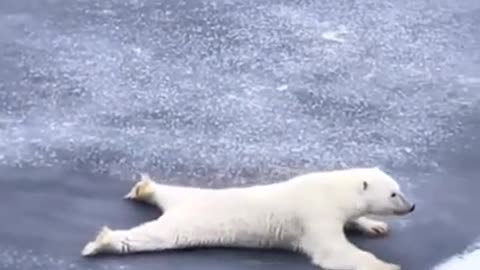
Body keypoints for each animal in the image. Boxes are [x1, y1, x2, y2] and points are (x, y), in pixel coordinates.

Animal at [81, 167, 412, 270]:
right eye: (394, 193)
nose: (412, 206)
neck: (331, 189)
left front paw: (374, 225)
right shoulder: (314, 213)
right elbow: (333, 251)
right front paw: (387, 265)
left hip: (188, 196)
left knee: (170, 191)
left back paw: (146, 188)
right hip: (187, 223)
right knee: (153, 236)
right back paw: (102, 242)